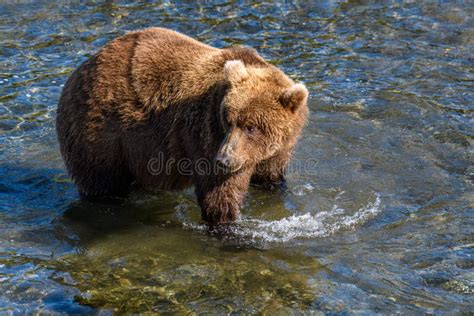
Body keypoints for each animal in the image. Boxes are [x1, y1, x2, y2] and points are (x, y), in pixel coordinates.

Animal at [55, 27, 310, 225]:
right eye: (228, 121)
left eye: (251, 127)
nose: (224, 159)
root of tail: (78, 72)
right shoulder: (206, 134)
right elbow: (219, 195)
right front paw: (228, 226)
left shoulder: (277, 148)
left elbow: (271, 176)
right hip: (97, 131)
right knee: (102, 182)